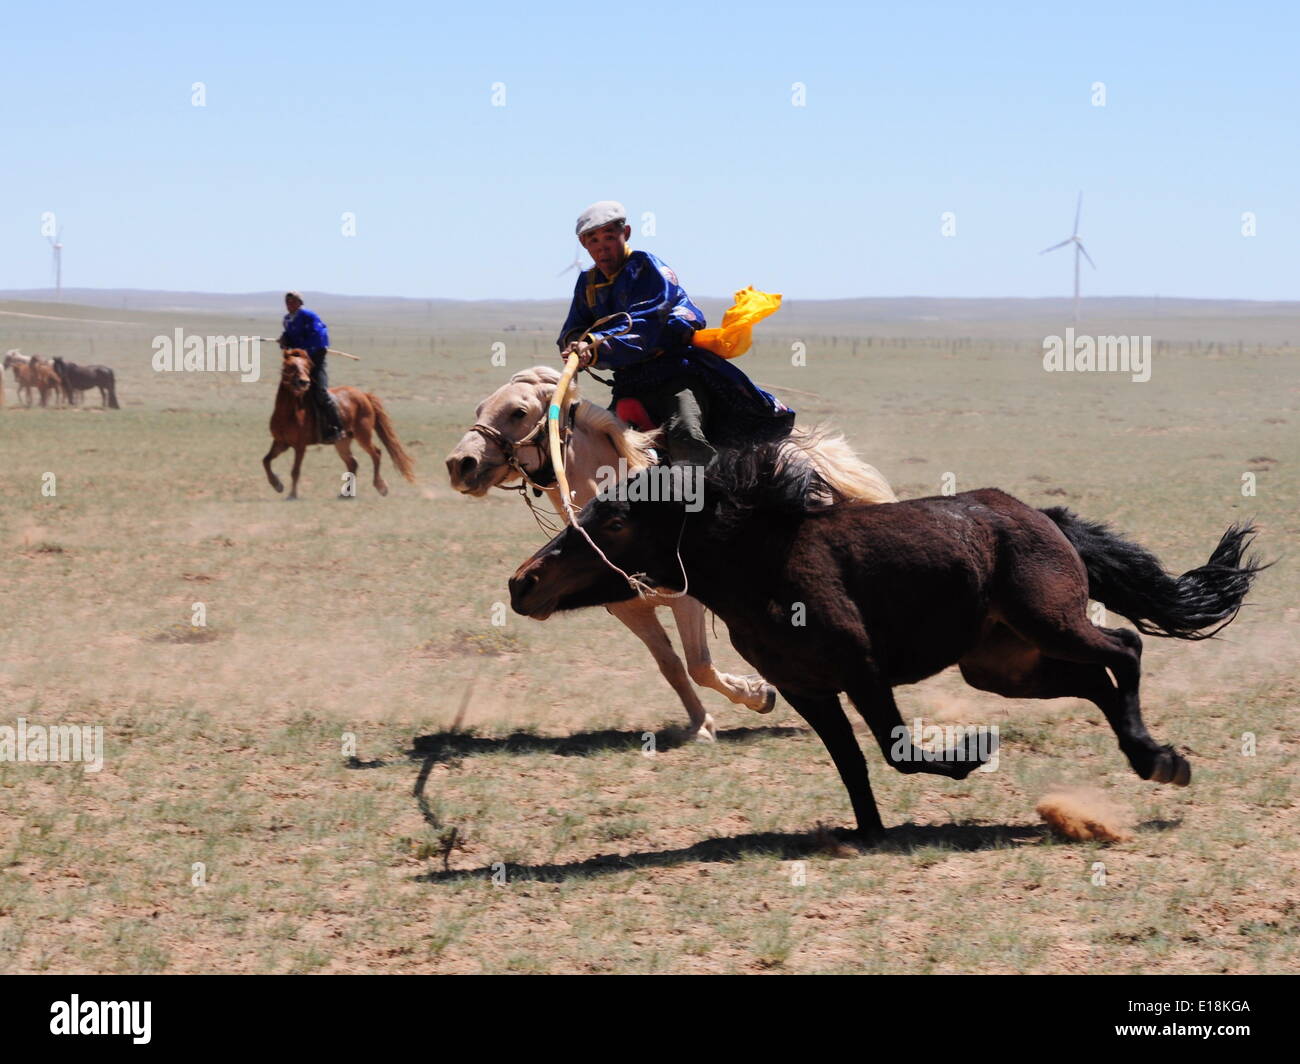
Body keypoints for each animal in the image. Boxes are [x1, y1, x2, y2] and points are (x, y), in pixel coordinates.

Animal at [267, 348, 418, 496]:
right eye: (290, 366)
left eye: (307, 367)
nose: (304, 382)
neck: (290, 412)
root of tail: (364, 395)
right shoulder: (281, 443)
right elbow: (266, 461)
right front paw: (277, 485)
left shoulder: (300, 446)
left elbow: (295, 470)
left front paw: (292, 495)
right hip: (342, 442)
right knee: (352, 462)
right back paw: (346, 493)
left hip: (363, 435)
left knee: (376, 453)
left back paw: (381, 486)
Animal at [444, 364, 894, 738]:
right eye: (482, 407)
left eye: (518, 412)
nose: (460, 463)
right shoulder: (629, 609)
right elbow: (672, 666)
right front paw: (702, 724)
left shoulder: (687, 599)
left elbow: (699, 664)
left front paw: (756, 694)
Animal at [512, 444, 1263, 842]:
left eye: (613, 519)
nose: (522, 583)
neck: (760, 565)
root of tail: (1042, 517)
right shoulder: (810, 692)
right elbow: (853, 764)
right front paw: (867, 833)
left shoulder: (863, 672)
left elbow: (897, 752)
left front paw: (970, 756)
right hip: (1003, 664)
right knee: (1094, 680)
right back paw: (1149, 760)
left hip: (1050, 624)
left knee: (1125, 648)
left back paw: (1158, 759)